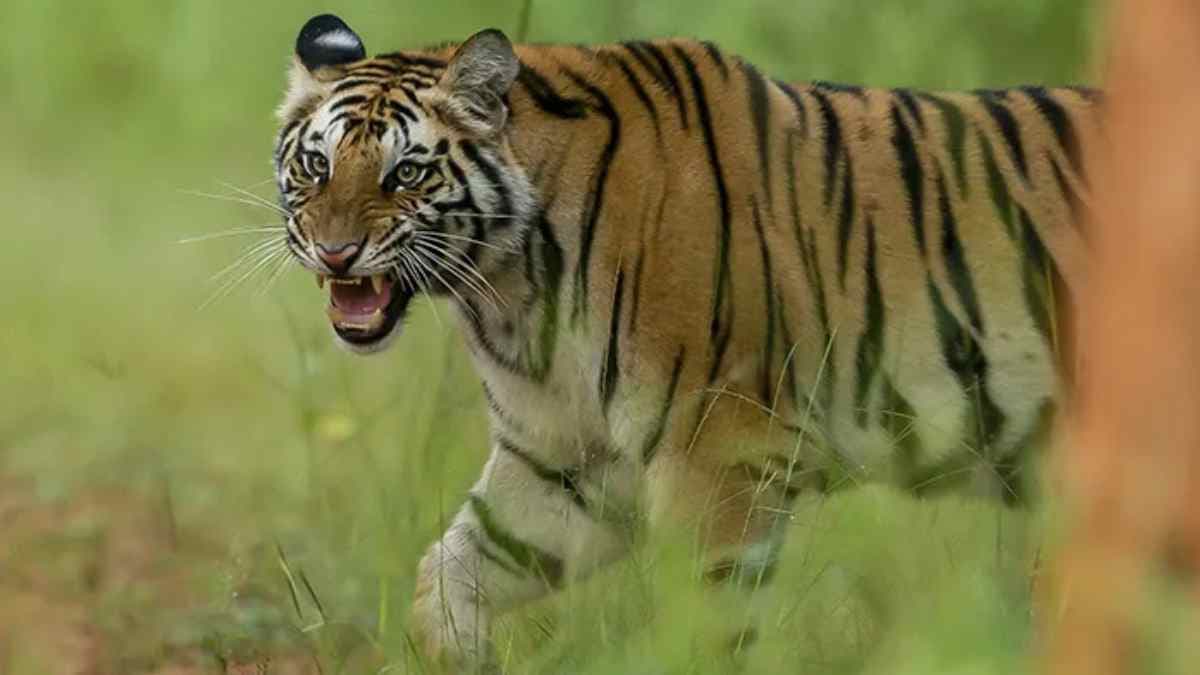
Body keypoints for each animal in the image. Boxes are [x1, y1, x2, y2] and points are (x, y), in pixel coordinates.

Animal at [272, 13, 1094, 670]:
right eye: (316, 165)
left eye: (405, 173)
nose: (335, 253)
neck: (508, 289)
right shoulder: (565, 463)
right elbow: (451, 568)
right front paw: (456, 657)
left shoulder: (717, 452)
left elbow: (709, 625)